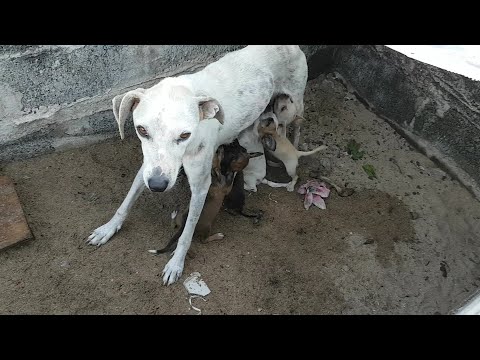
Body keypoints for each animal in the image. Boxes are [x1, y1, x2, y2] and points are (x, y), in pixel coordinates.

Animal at [86, 45, 308, 286]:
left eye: (185, 134)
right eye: (142, 130)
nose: (157, 186)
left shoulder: (202, 187)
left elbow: (187, 232)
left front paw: (176, 264)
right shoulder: (149, 168)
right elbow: (126, 202)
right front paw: (108, 229)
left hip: (296, 102)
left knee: (296, 126)